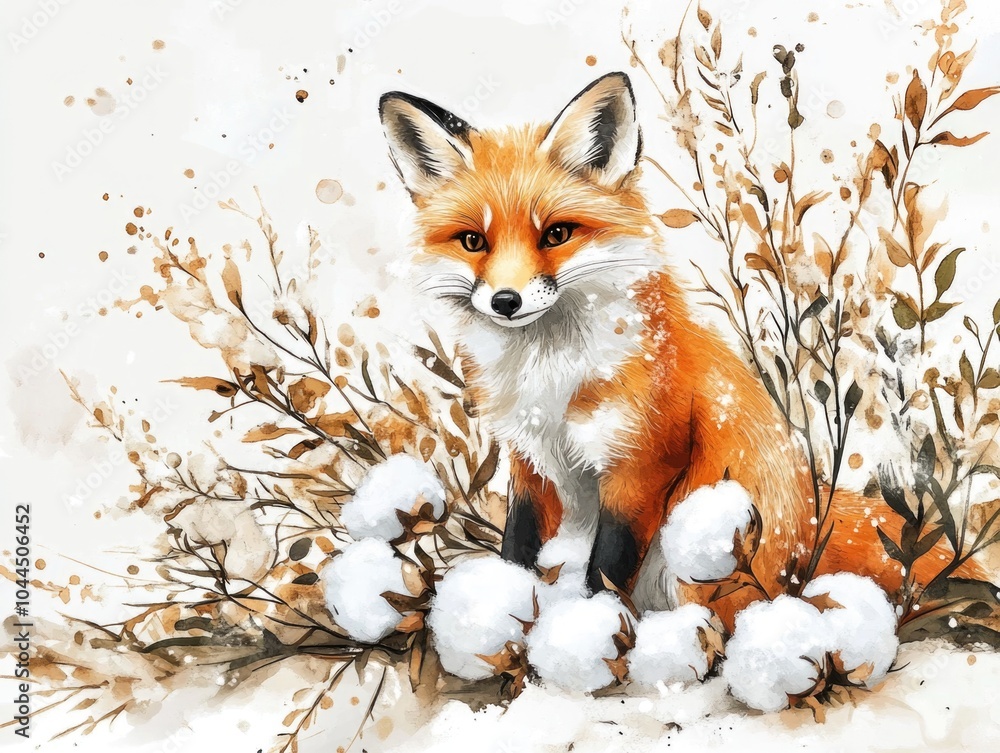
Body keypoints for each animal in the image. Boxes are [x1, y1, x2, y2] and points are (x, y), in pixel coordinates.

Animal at [378, 72, 983, 630]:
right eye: (473, 241)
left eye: (556, 234)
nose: (506, 301)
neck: (550, 377)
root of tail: (808, 532)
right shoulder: (530, 463)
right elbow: (518, 548)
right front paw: (500, 611)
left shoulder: (642, 461)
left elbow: (606, 568)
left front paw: (588, 637)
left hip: (701, 553)